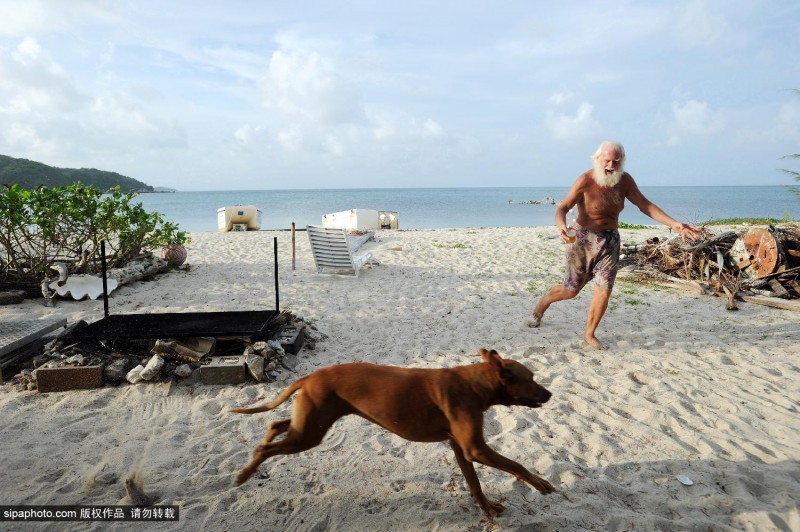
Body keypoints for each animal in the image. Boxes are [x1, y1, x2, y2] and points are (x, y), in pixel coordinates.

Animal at [233, 348, 556, 512]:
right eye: (531, 378)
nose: (550, 394)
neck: (475, 384)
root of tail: (310, 376)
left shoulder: (461, 448)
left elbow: (474, 483)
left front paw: (486, 508)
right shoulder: (476, 449)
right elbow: (516, 464)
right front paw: (540, 483)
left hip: (310, 423)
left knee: (275, 424)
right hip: (310, 433)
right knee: (266, 447)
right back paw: (244, 474)